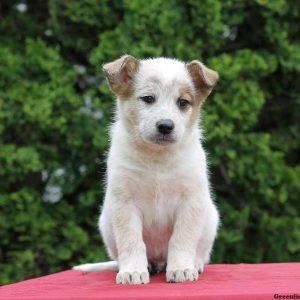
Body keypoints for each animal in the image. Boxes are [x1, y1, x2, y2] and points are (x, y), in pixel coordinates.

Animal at [74, 55, 220, 284]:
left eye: (183, 102)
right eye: (148, 98)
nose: (166, 126)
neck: (157, 159)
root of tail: (160, 261)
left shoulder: (190, 201)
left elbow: (182, 238)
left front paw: (181, 269)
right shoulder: (125, 202)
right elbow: (131, 241)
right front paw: (133, 272)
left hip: (211, 219)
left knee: (200, 252)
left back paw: (194, 264)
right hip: (106, 221)